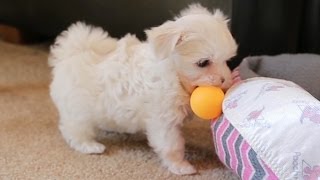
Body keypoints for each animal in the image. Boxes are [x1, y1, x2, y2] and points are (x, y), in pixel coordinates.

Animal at [48, 3, 236, 174]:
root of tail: (70, 54)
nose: (224, 80)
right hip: (77, 109)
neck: (174, 75)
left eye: (227, 60)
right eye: (203, 63)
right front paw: (181, 166)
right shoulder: (163, 121)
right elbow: (172, 145)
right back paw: (90, 146)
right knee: (74, 130)